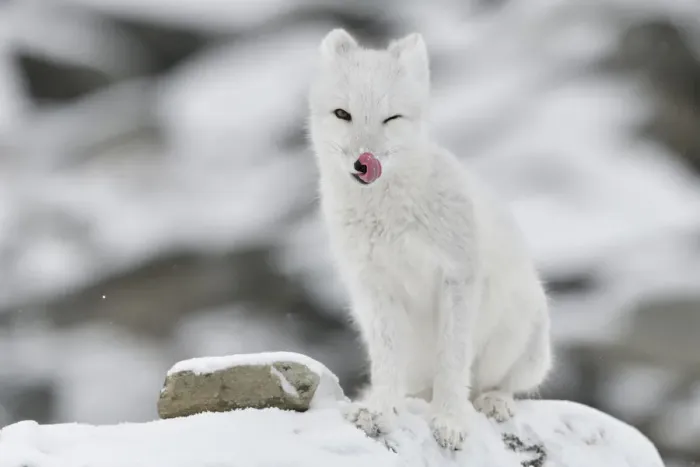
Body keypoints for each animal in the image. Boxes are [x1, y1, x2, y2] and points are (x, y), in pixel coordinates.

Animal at [307, 29, 552, 451]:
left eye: (391, 118)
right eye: (342, 114)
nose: (363, 162)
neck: (389, 218)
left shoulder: (457, 276)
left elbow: (452, 361)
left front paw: (449, 422)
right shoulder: (375, 286)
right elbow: (387, 360)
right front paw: (380, 411)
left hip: (524, 339)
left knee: (499, 385)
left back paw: (493, 402)